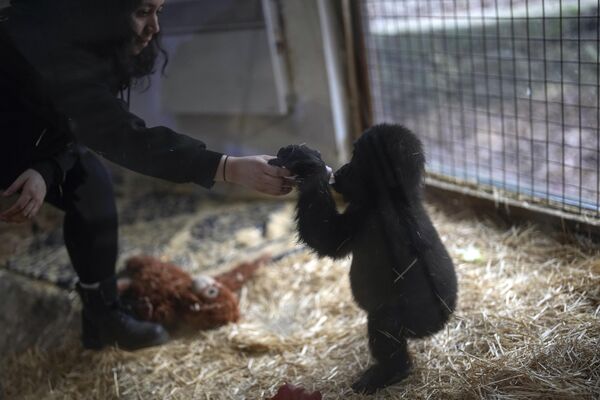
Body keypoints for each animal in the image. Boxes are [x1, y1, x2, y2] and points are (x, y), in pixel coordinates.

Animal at [270, 123, 458, 392]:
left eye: (357, 159)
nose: (342, 169)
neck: (394, 195)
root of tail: (441, 325)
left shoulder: (376, 220)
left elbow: (325, 236)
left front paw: (309, 167)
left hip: (418, 321)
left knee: (385, 322)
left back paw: (391, 371)